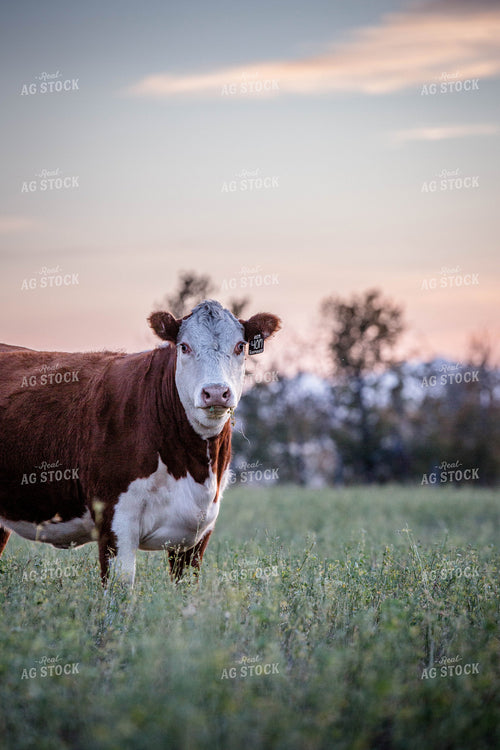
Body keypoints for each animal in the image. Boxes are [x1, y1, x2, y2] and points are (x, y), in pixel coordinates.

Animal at [0, 300, 281, 587]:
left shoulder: (198, 532)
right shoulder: (114, 519)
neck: (195, 468)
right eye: (184, 346)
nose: (215, 392)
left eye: (240, 346)